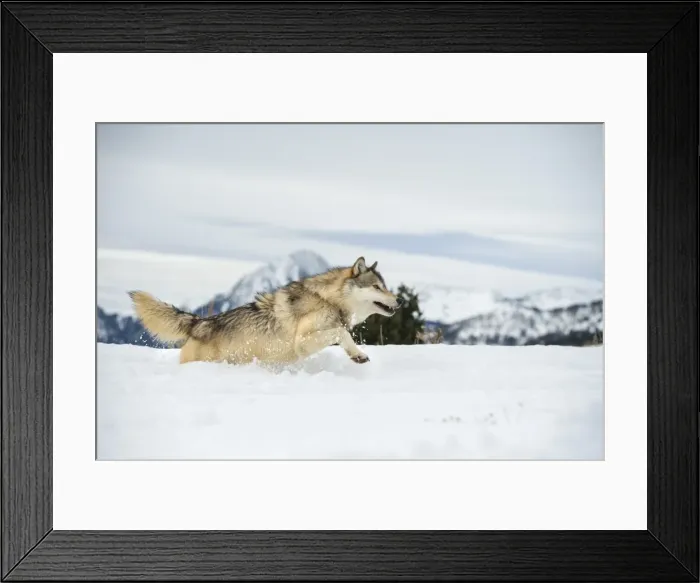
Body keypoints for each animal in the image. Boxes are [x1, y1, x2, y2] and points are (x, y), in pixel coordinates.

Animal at [128, 257, 402, 365]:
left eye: (385, 286)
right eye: (377, 287)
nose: (399, 301)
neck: (328, 300)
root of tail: (201, 323)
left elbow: (342, 334)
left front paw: (357, 355)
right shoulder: (302, 342)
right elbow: (341, 333)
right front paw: (358, 355)